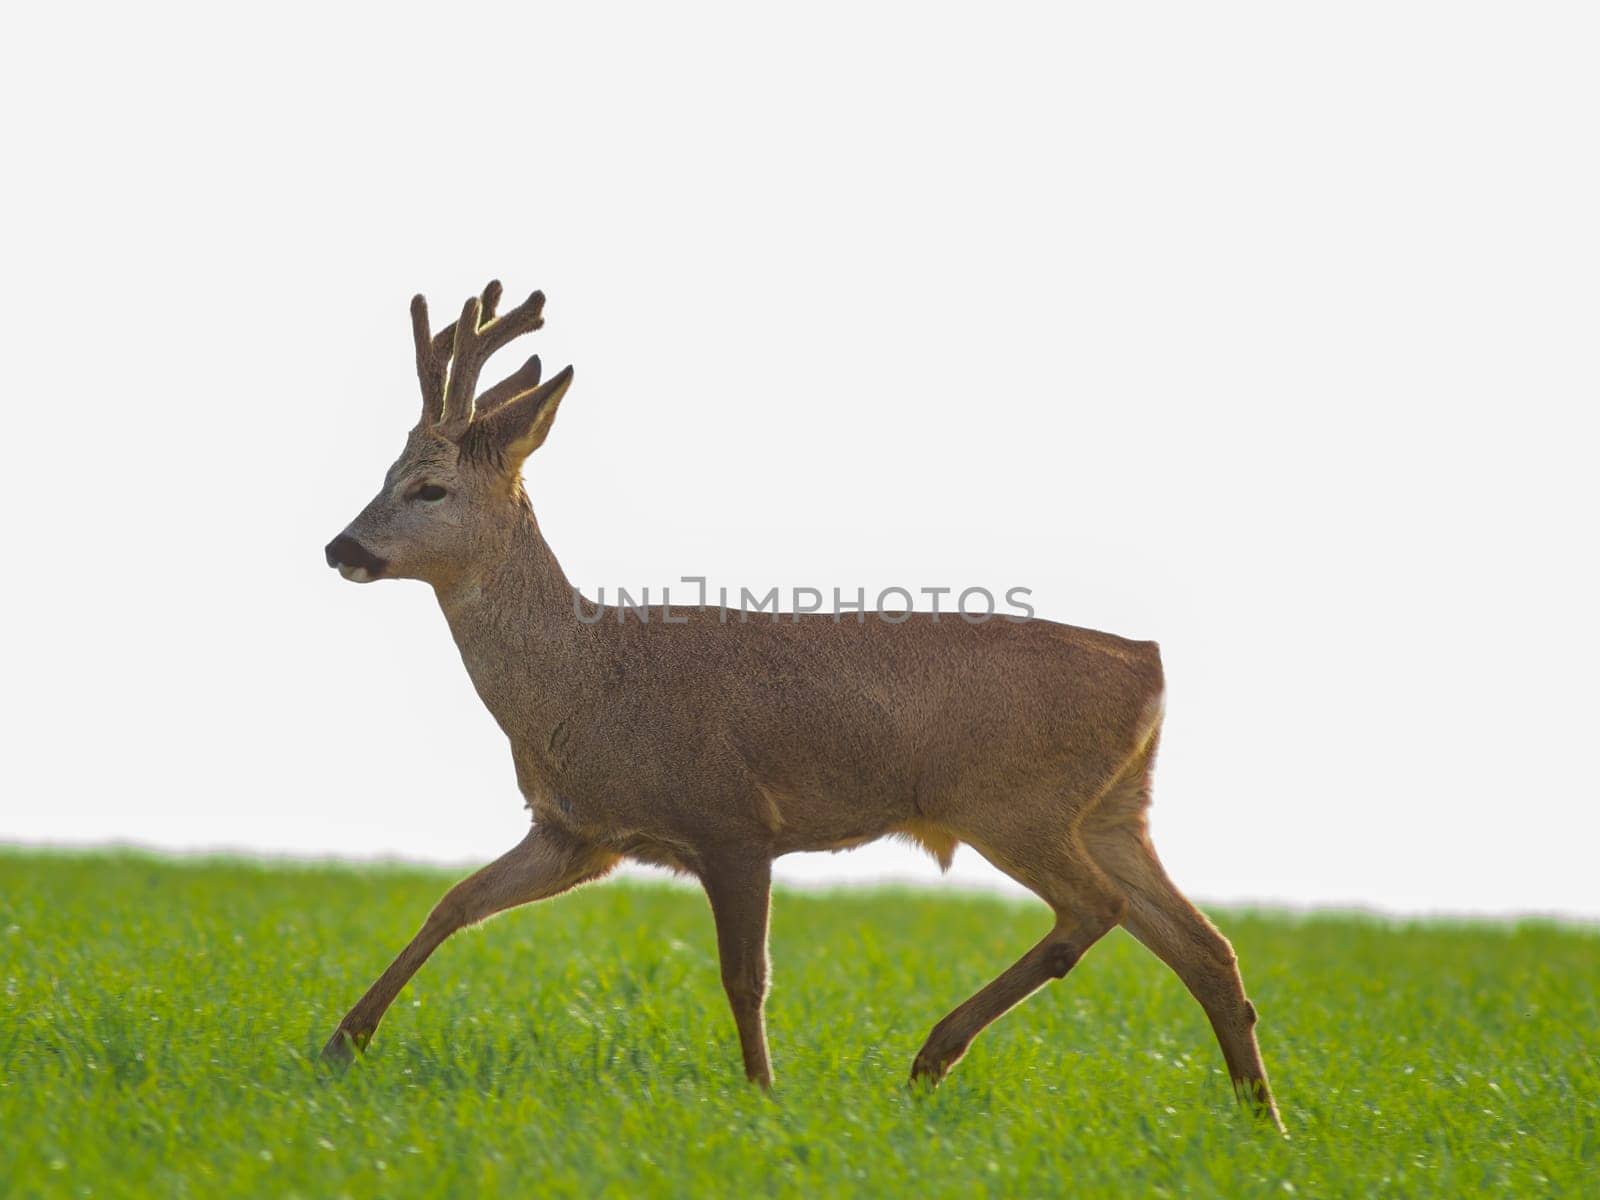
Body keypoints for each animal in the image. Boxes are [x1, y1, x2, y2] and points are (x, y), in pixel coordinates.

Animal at [318, 280, 1280, 1126]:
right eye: (385, 472)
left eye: (430, 488)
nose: (340, 547)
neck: (583, 681)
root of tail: (1149, 665)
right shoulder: (578, 832)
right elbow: (453, 904)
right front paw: (340, 1043)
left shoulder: (732, 819)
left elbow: (746, 977)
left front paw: (762, 1093)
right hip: (1111, 810)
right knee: (1206, 949)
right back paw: (1260, 1119)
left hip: (1013, 800)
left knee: (1097, 911)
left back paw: (932, 1055)